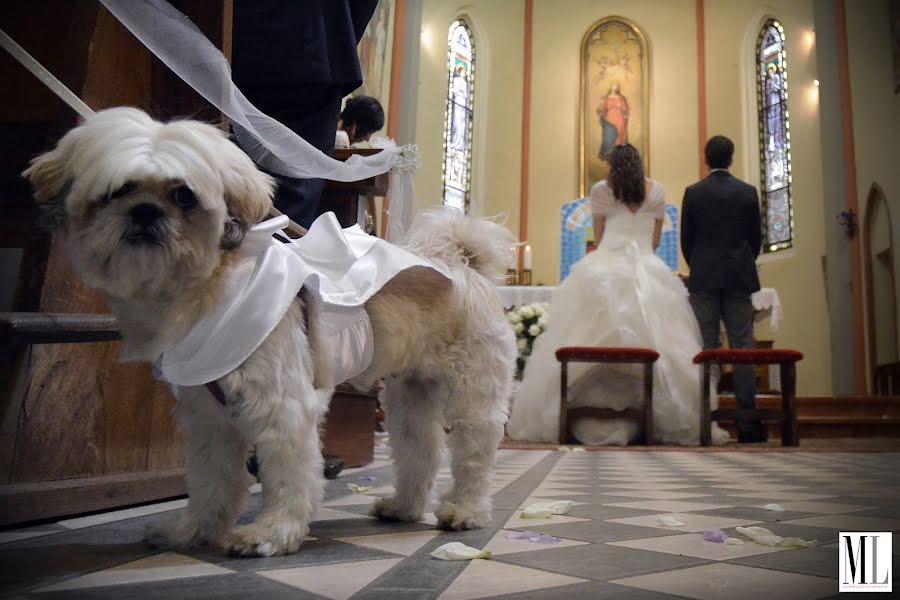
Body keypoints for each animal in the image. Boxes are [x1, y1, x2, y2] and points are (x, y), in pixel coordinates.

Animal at [24, 108, 516, 556]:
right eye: (119, 191)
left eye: (184, 196)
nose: (144, 212)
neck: (210, 288)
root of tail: (463, 262)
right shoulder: (209, 417)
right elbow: (211, 481)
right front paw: (192, 531)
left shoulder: (283, 408)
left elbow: (289, 477)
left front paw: (271, 533)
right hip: (411, 397)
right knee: (422, 450)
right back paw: (404, 507)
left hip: (472, 398)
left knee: (473, 455)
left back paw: (465, 511)